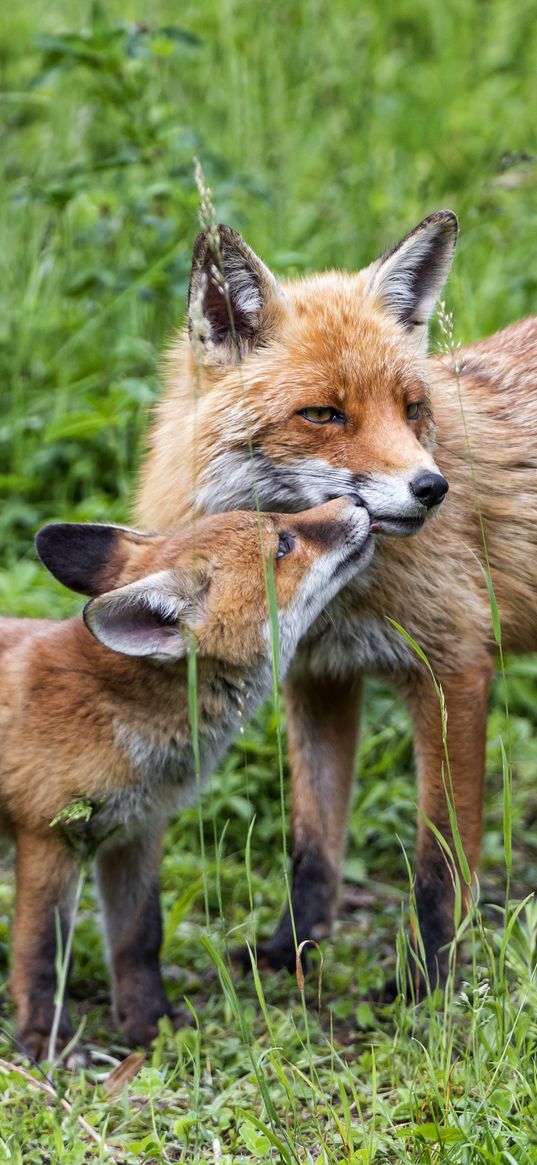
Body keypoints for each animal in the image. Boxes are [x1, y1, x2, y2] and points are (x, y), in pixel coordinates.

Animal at [135, 214, 537, 987]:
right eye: (323, 414)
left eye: (411, 410)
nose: (431, 489)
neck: (337, 593)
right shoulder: (318, 676)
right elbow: (313, 840)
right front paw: (292, 948)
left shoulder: (454, 669)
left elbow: (441, 860)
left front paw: (427, 982)